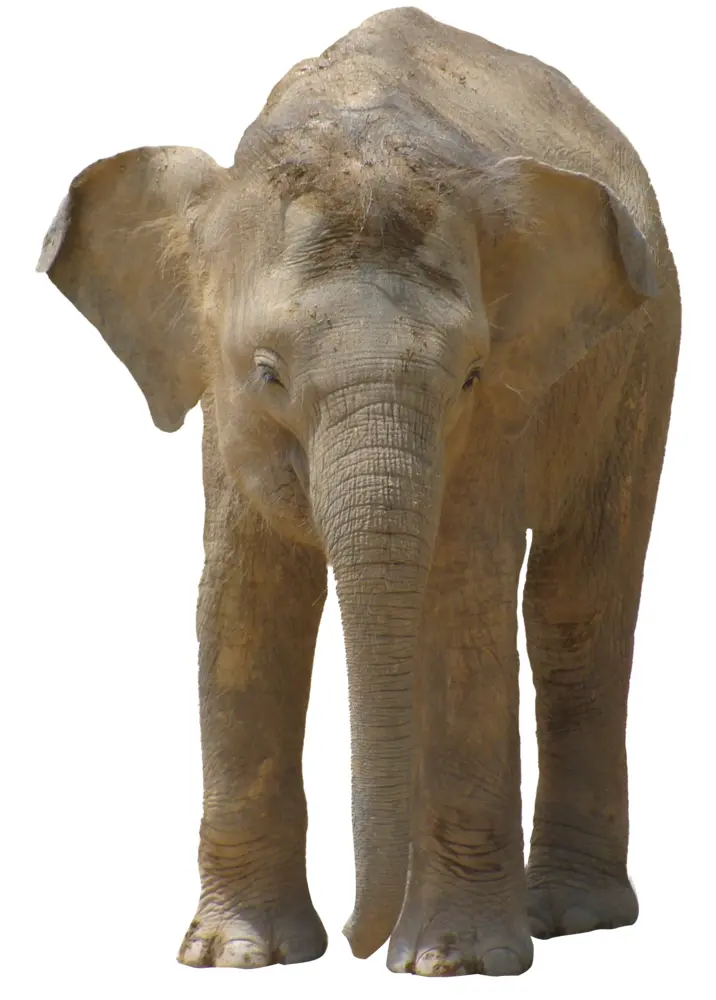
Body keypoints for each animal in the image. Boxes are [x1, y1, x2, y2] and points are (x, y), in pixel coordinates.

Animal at [37, 5, 680, 978]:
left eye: (470, 377)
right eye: (267, 372)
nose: (352, 938)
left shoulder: (502, 415)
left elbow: (461, 597)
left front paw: (452, 963)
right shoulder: (225, 414)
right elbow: (243, 603)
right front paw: (238, 956)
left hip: (647, 350)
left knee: (577, 608)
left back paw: (569, 915)